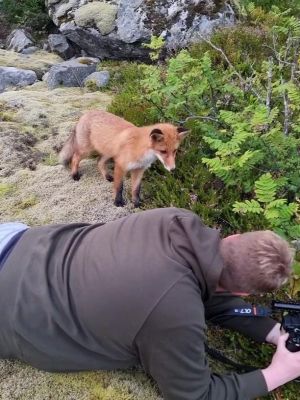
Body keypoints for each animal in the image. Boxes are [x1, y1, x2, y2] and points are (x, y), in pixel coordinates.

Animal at [59, 111, 189, 208]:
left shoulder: (139, 170)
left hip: (108, 152)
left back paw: (107, 177)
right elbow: (119, 187)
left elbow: (136, 189)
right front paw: (118, 202)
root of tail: (85, 114)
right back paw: (75, 175)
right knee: (75, 158)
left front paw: (137, 203)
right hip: (87, 150)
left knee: (99, 162)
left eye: (175, 151)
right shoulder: (120, 166)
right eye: (163, 151)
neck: (139, 148)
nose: (172, 169)